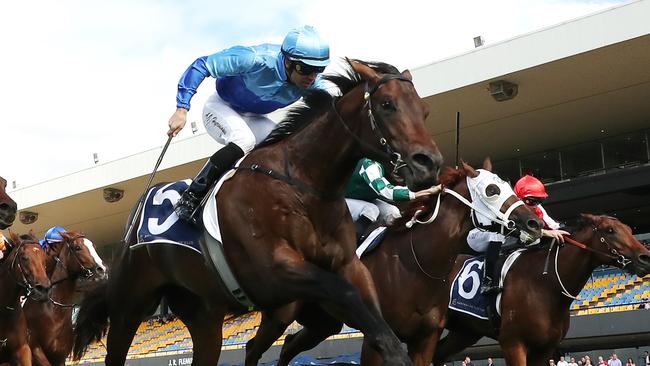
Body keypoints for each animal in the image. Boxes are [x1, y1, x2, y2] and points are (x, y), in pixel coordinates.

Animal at [24, 232, 106, 366]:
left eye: (93, 245)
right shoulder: (35, 349)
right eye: (77, 248)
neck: (53, 311)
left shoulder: (59, 355)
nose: (102, 269)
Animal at [73, 60, 442, 366]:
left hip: (204, 314)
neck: (302, 185)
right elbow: (348, 296)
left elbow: (375, 318)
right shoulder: (275, 270)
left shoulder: (349, 265)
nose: (430, 163)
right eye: (387, 105)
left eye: (424, 111)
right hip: (129, 306)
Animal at [243, 160, 540, 366]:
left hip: (322, 323)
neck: (415, 265)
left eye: (508, 185)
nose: (533, 223)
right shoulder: (378, 338)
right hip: (281, 314)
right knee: (252, 347)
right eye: (492, 190)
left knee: (288, 345)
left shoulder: (425, 339)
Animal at [432, 214, 650, 366]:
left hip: (465, 332)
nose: (645, 257)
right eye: (610, 230)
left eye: (629, 229)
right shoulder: (513, 342)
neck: (545, 284)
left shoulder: (545, 348)